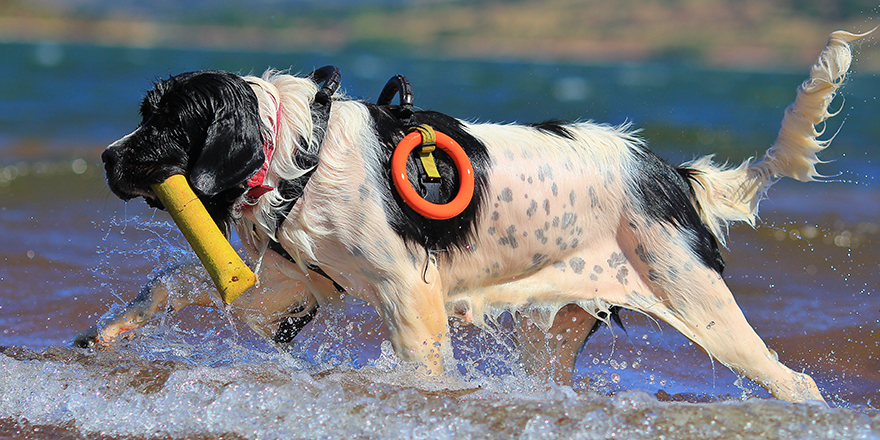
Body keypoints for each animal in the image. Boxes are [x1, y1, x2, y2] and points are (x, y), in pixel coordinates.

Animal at [74, 29, 872, 404]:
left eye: (162, 122)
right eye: (143, 114)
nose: (107, 157)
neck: (302, 147)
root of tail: (670, 174)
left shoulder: (410, 297)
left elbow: (422, 369)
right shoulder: (295, 283)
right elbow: (170, 281)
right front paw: (106, 334)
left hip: (701, 305)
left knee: (793, 382)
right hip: (554, 330)